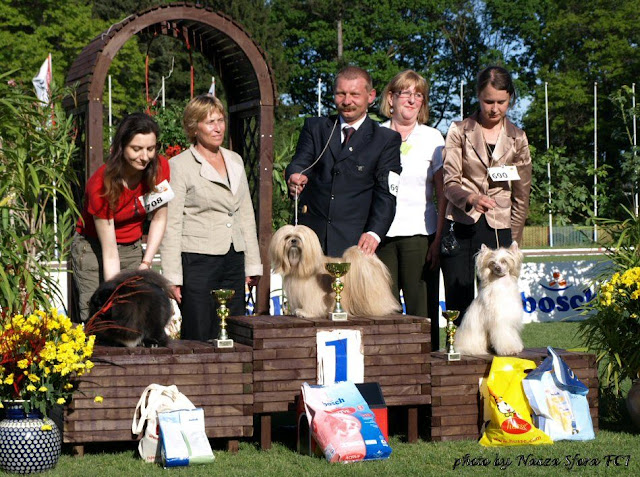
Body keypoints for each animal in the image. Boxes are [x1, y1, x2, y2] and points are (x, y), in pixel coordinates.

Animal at [269, 225, 401, 318]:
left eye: (299, 238)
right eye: (287, 237)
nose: (293, 241)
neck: (298, 265)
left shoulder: (312, 293)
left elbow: (312, 303)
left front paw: (305, 313)